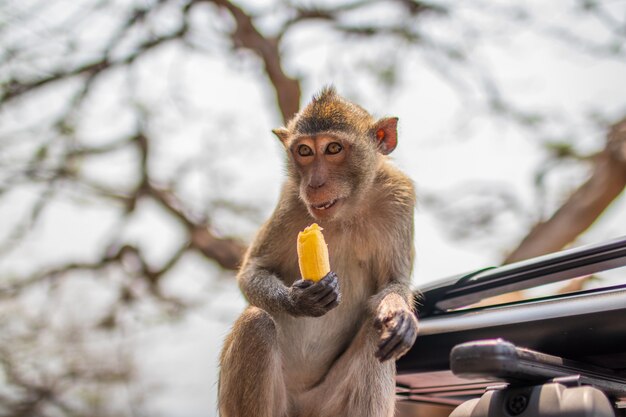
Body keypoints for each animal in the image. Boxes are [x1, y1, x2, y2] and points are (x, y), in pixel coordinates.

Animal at [217, 87, 416, 416]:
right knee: (256, 323)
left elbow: (393, 283)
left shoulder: (399, 196)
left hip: (326, 404)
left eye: (333, 148)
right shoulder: (290, 199)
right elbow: (253, 270)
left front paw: (398, 313)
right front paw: (299, 299)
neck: (346, 211)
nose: (314, 184)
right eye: (305, 151)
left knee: (376, 333)